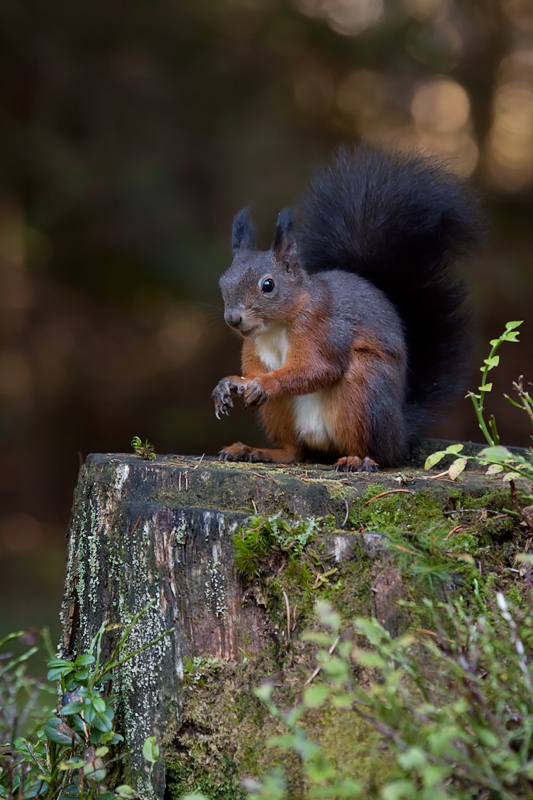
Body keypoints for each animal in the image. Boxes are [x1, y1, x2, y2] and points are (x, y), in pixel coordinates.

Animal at [210, 143, 480, 468]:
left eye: (268, 285)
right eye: (222, 282)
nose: (233, 319)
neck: (274, 329)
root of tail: (400, 430)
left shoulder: (324, 329)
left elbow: (318, 368)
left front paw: (265, 384)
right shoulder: (253, 346)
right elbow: (253, 370)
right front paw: (230, 384)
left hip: (364, 387)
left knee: (379, 452)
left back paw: (359, 459)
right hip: (280, 414)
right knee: (293, 451)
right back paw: (257, 451)